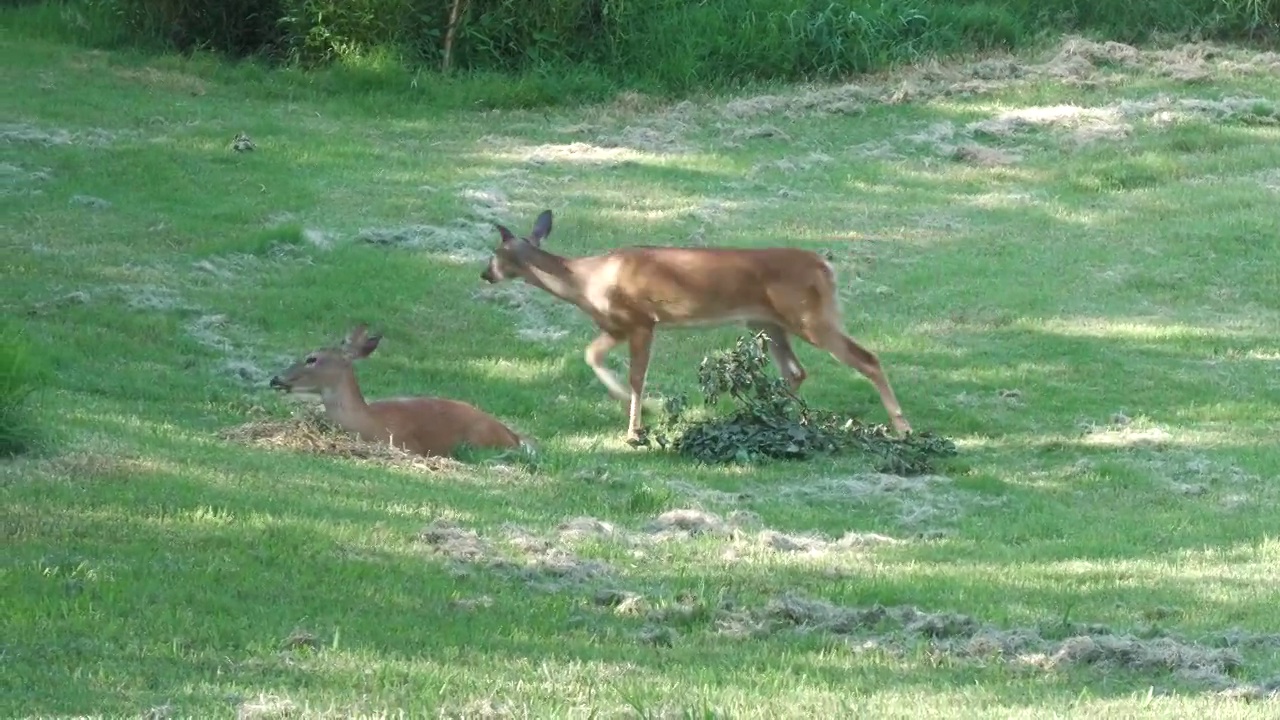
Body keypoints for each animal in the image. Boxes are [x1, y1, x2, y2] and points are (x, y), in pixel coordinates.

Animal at [481, 210, 911, 440]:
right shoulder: (617, 325)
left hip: (810, 316)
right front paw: (636, 410)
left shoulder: (642, 321)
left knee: (867, 358)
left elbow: (637, 377)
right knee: (795, 370)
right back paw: (778, 419)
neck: (589, 281)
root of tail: (826, 267)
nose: (484, 274)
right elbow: (592, 355)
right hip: (768, 322)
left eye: (495, 254)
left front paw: (636, 427)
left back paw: (902, 427)